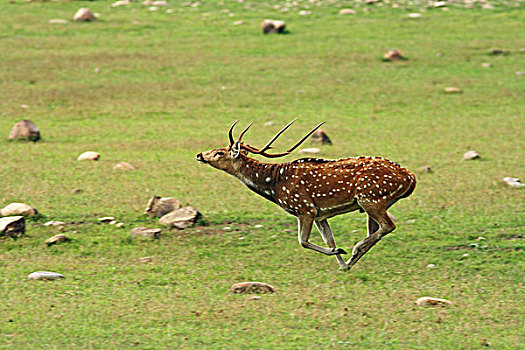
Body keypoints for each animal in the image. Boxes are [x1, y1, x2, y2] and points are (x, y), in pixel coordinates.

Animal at [194, 120, 416, 270]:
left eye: (219, 152)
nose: (199, 154)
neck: (274, 186)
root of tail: (410, 177)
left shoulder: (304, 208)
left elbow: (302, 241)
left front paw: (342, 253)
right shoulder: (320, 214)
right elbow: (329, 240)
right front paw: (341, 261)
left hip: (370, 198)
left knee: (388, 225)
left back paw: (355, 249)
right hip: (378, 202)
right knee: (376, 229)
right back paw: (353, 259)